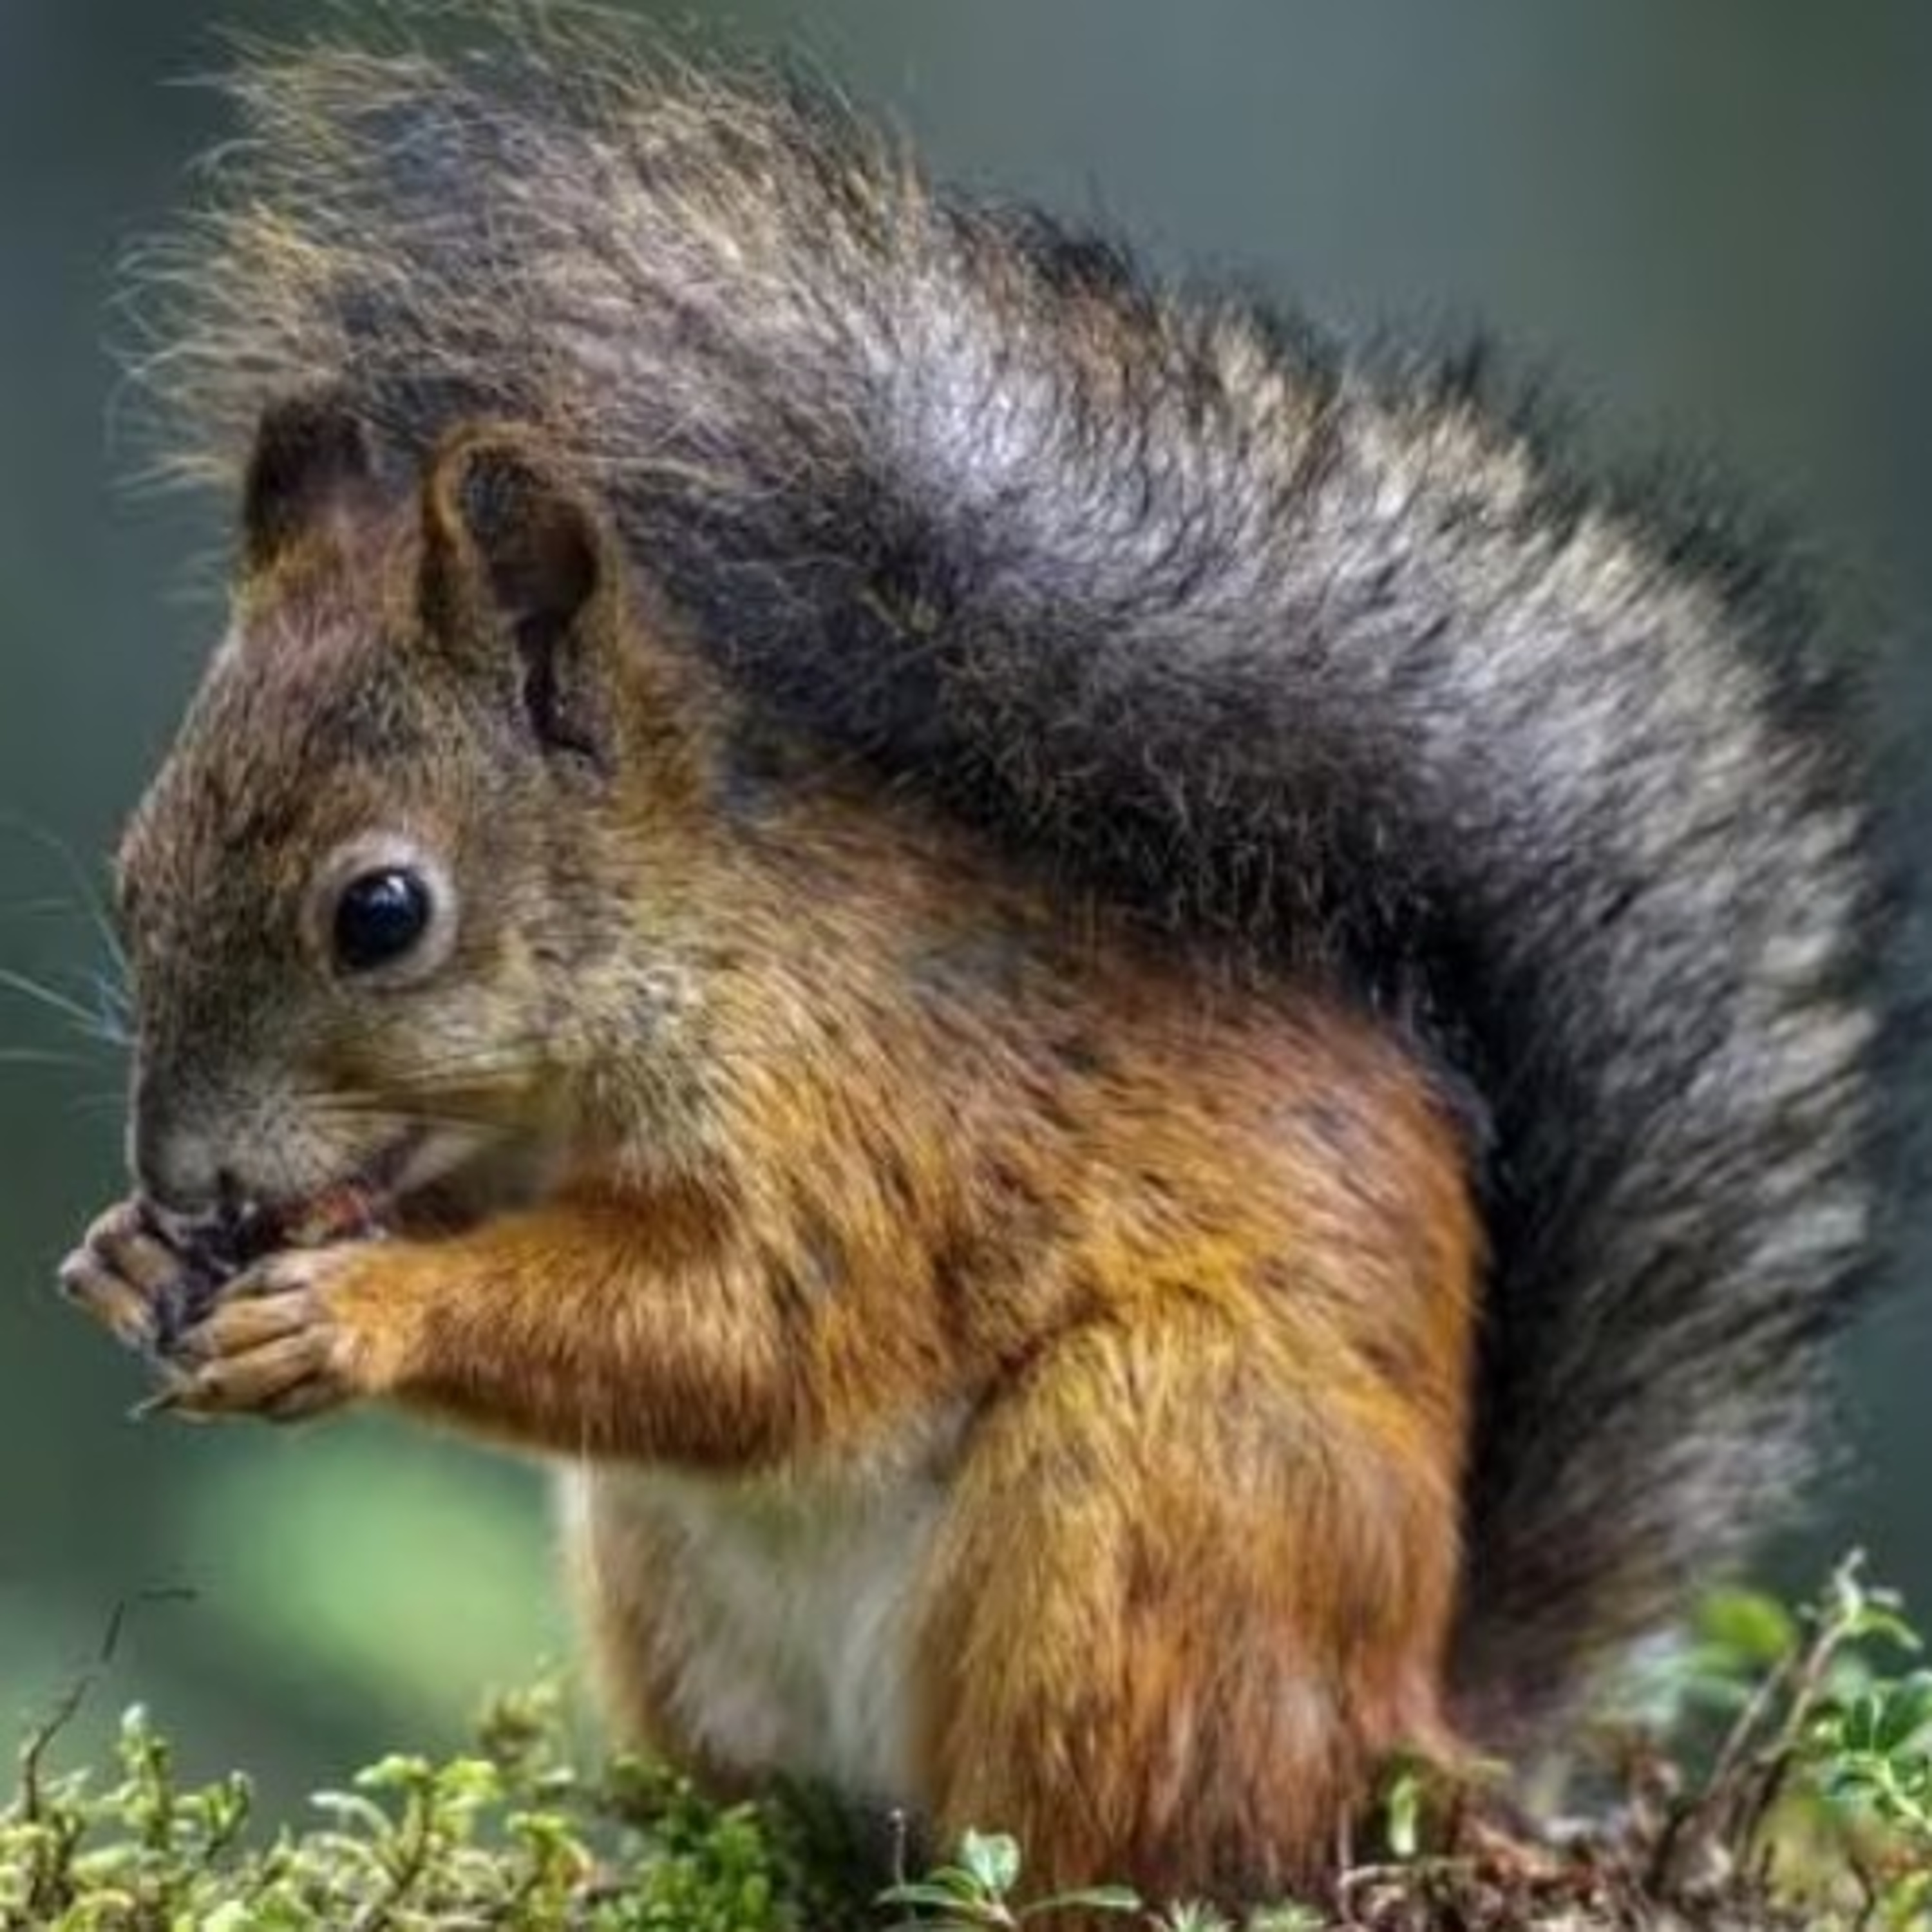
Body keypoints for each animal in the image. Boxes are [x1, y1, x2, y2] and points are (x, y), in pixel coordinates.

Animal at [57, 15, 1898, 1915]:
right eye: (131, 874)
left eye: (381, 913)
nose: (181, 1179)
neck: (672, 951)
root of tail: (1410, 1741)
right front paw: (130, 1261)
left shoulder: (853, 1119)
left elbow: (741, 1329)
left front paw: (351, 1311)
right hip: (668, 1575)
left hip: (1139, 1500)